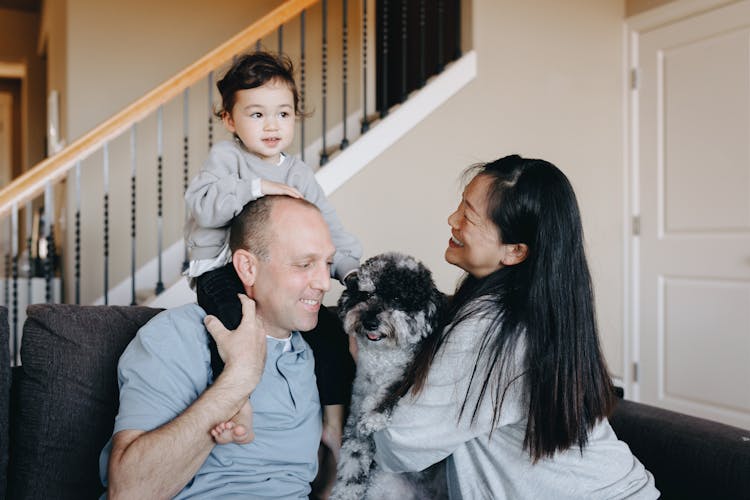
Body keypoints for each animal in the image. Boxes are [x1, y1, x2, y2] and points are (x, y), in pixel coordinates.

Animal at [332, 252, 450, 500]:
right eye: (367, 294)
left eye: (397, 298)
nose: (370, 321)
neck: (382, 360)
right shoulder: (354, 427)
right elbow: (351, 464)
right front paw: (344, 492)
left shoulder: (408, 373)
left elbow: (391, 391)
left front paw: (373, 417)